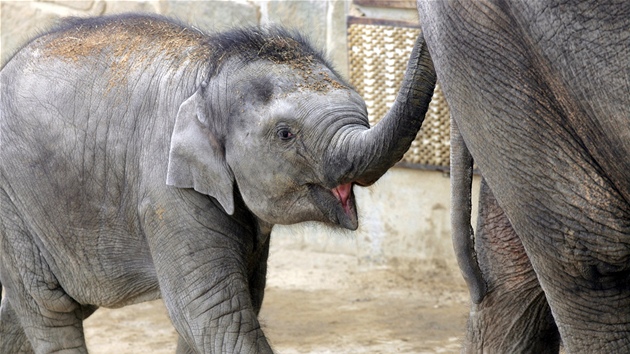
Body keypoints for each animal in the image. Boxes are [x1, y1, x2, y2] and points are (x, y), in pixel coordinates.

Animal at [0, 13, 436, 354]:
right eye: (285, 135)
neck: (207, 73)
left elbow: (239, 303)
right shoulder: (167, 192)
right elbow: (212, 313)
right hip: (13, 205)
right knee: (50, 307)